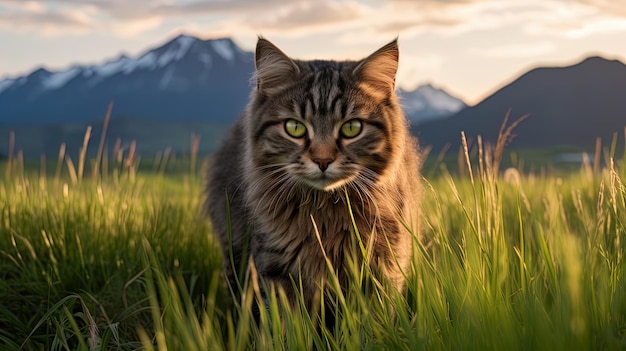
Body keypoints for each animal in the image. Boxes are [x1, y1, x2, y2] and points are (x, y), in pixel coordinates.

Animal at [204, 37, 420, 316]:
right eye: (294, 128)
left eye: (352, 128)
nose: (323, 160)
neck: (325, 212)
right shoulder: (276, 267)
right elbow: (286, 323)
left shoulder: (384, 264)